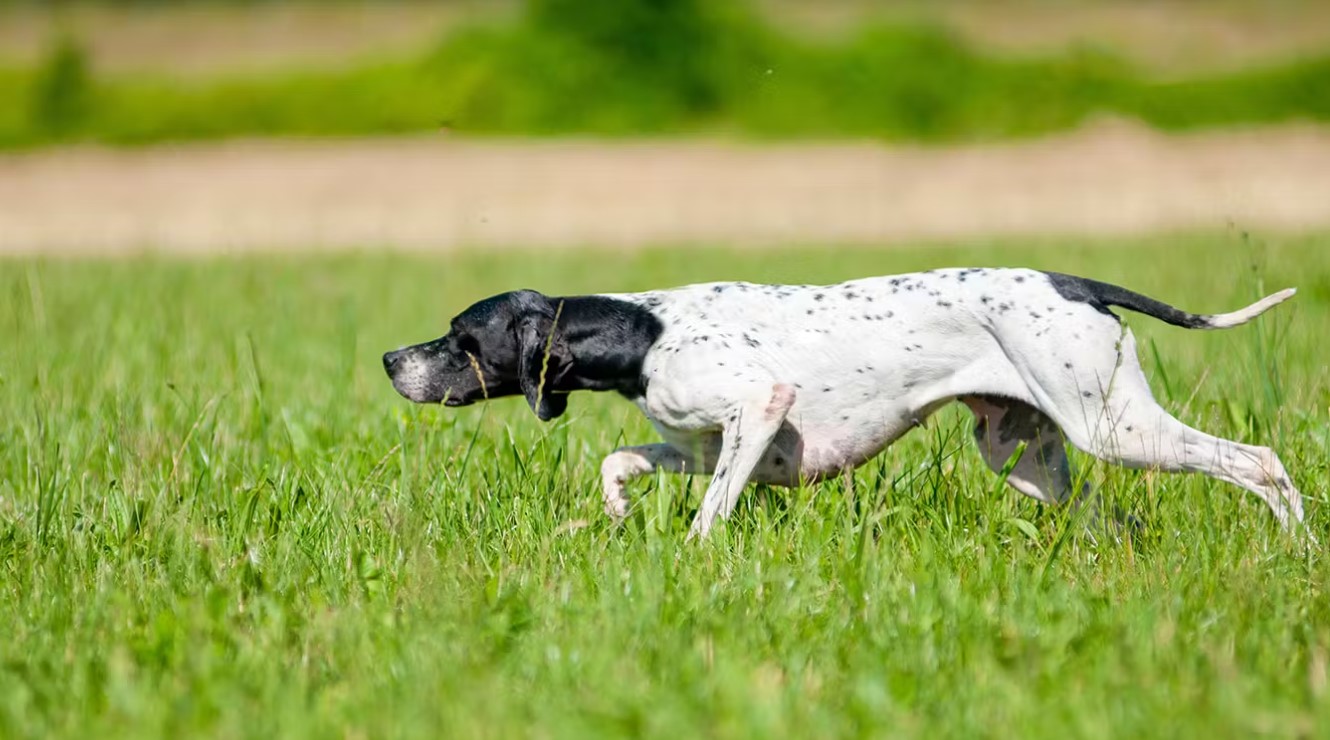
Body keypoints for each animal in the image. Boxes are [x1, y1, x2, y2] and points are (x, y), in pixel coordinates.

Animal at [383, 268, 1298, 540]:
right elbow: (624, 459)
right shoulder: (703, 442)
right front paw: (612, 509)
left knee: (1260, 464)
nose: (392, 358)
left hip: (1115, 427)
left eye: (460, 337)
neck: (644, 331)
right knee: (1119, 520)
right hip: (1030, 458)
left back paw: (1296, 546)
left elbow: (710, 514)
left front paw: (690, 558)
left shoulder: (758, 408)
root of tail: (1075, 282)